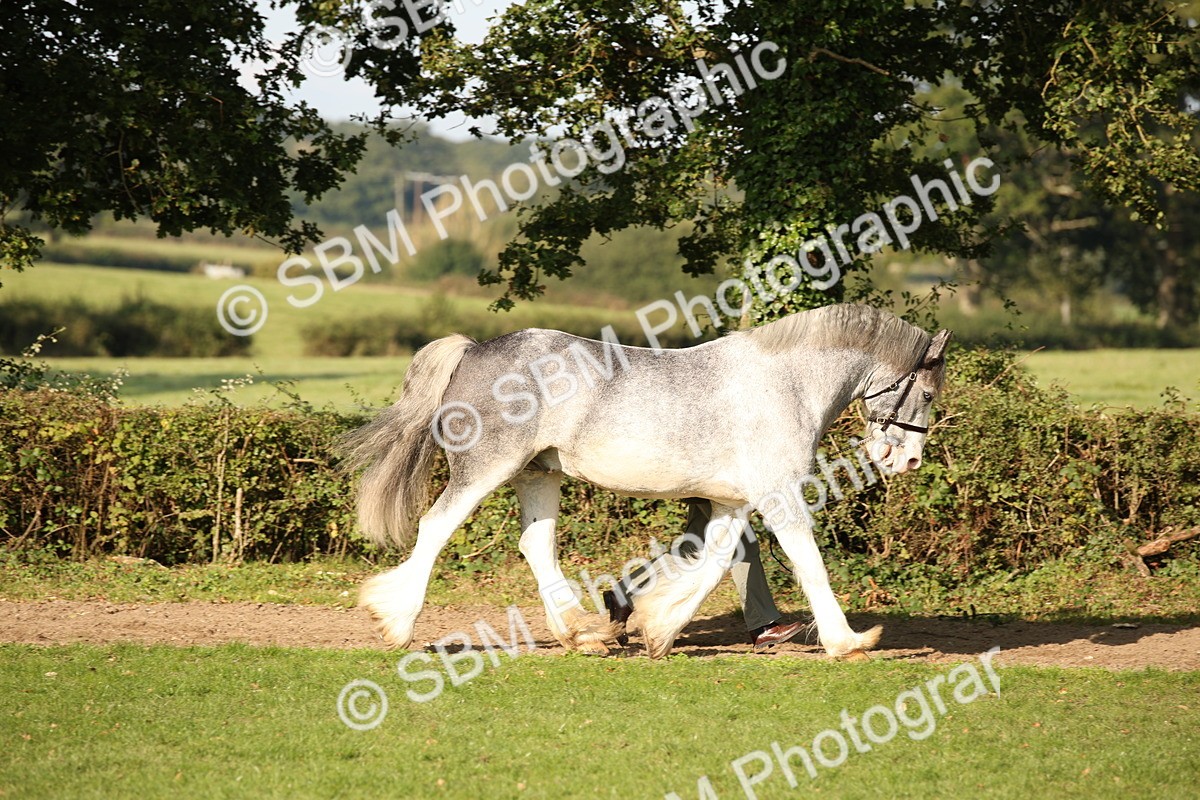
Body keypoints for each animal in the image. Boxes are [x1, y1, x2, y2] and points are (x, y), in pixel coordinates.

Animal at [339, 303, 951, 659]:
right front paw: (850, 642)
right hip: (488, 468)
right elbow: (809, 564)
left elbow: (712, 564)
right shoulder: (778, 496)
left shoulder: (732, 502)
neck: (788, 382)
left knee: (536, 545)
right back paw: (394, 623)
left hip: (538, 476)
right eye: (925, 392)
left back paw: (585, 634)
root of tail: (473, 350)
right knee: (435, 527)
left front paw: (657, 629)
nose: (908, 462)